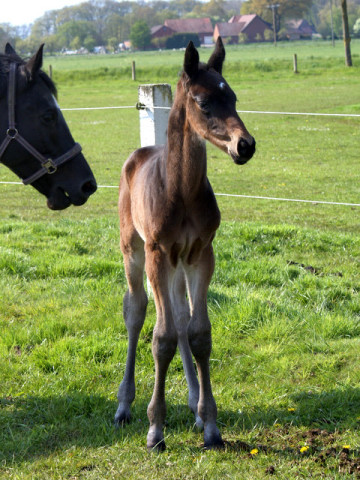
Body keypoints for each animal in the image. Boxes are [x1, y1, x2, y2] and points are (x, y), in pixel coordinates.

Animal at [116, 39, 256, 452]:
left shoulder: (201, 254)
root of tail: (138, 154)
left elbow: (198, 333)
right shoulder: (157, 254)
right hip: (133, 250)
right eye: (204, 102)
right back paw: (124, 406)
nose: (245, 145)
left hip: (178, 265)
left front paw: (210, 424)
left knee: (179, 317)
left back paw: (194, 404)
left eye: (233, 97)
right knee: (136, 311)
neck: (180, 191)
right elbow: (160, 338)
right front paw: (155, 430)